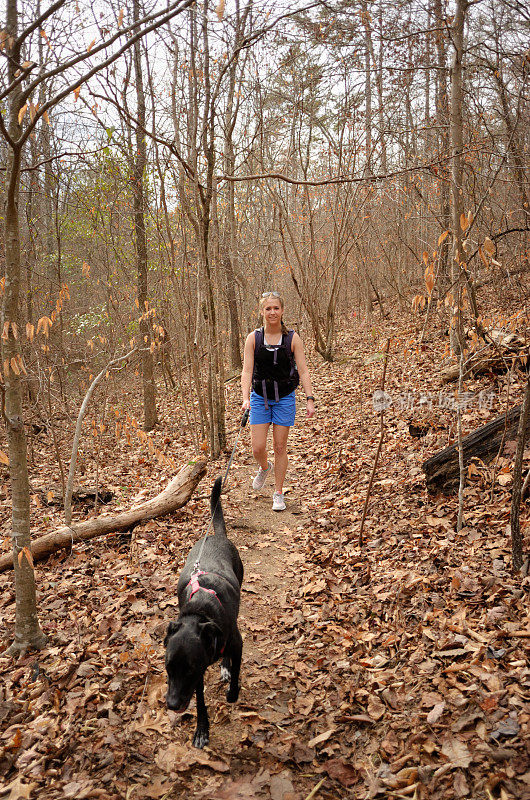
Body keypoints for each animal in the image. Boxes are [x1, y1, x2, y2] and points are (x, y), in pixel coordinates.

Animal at [164, 478, 242, 748]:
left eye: (188, 669)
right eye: (168, 668)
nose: (171, 704)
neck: (199, 613)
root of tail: (216, 536)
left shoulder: (236, 644)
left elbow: (236, 670)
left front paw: (232, 693)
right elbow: (199, 700)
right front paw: (201, 729)